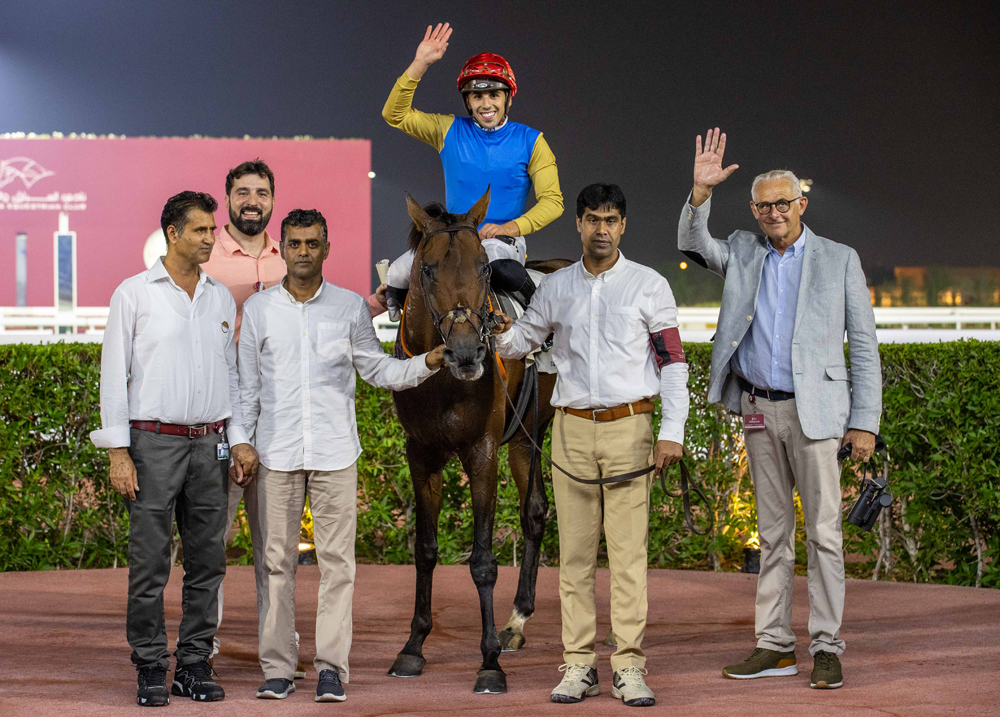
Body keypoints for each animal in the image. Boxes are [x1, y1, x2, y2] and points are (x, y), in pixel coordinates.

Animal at [386, 187, 568, 692]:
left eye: (485, 268)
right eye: (427, 269)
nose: (467, 351)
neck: (445, 382)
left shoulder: (482, 451)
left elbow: (483, 560)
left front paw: (489, 663)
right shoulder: (421, 453)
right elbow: (425, 551)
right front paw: (413, 647)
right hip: (524, 437)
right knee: (536, 511)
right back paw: (517, 621)